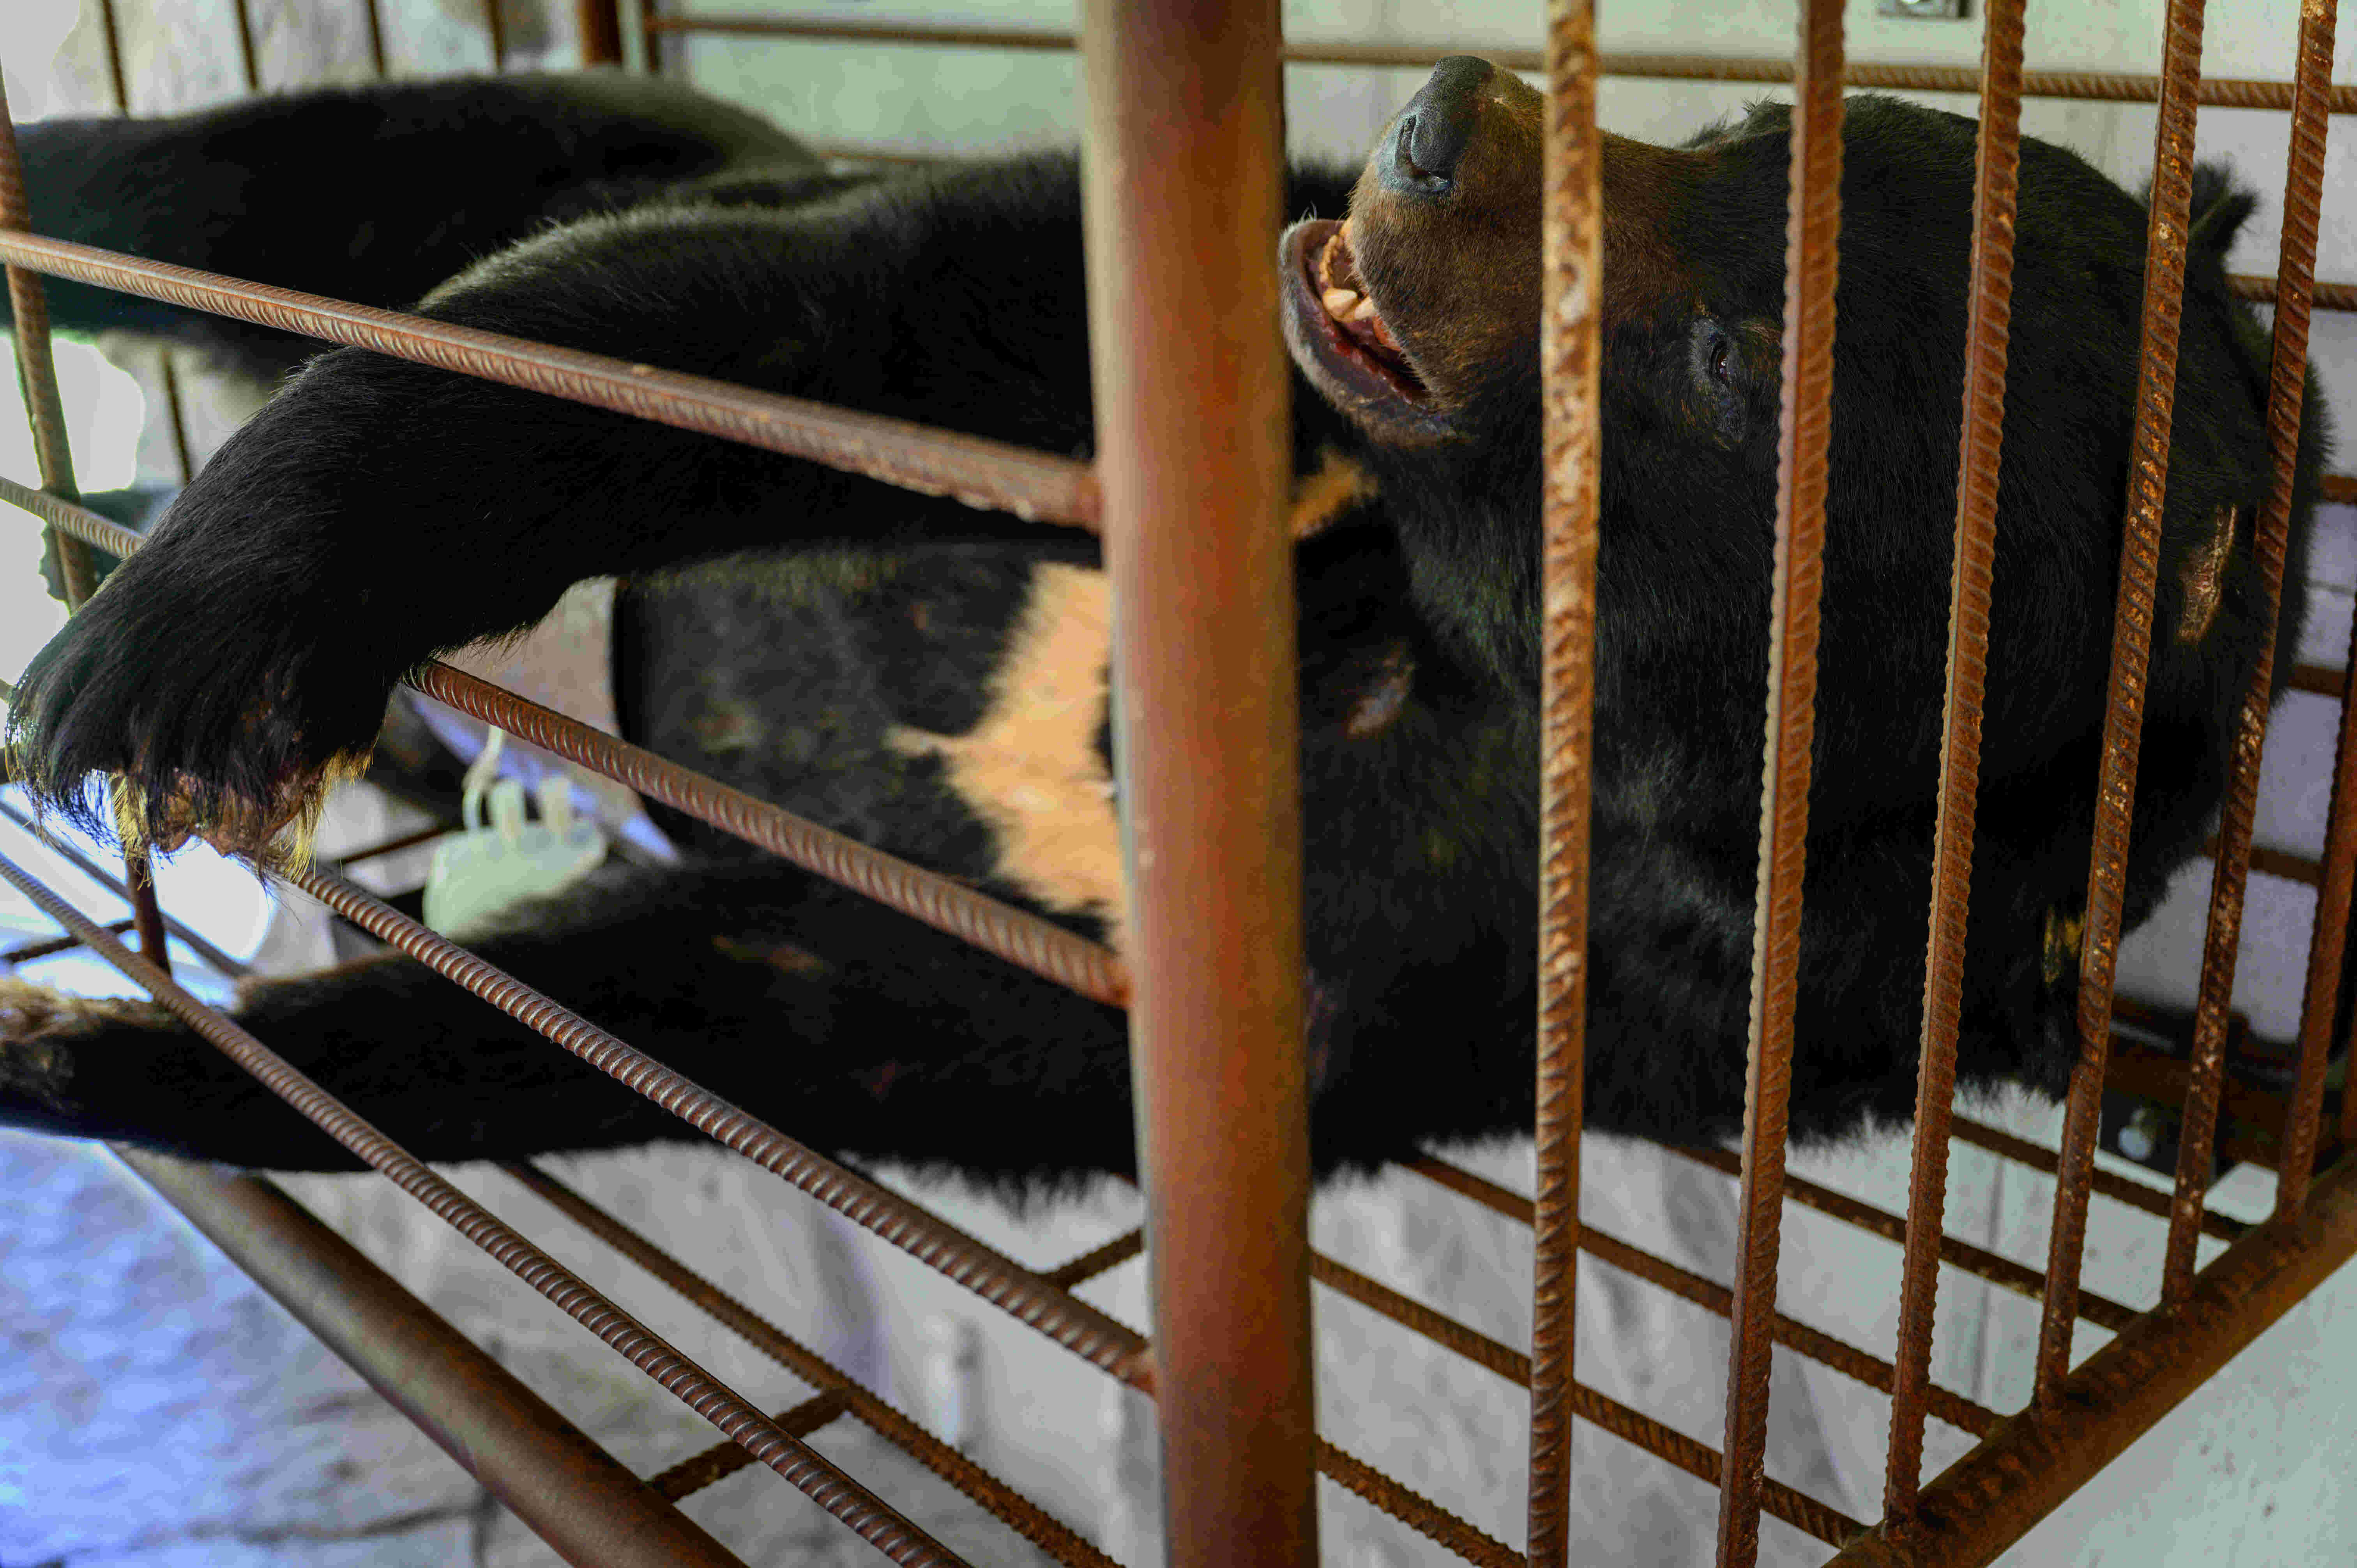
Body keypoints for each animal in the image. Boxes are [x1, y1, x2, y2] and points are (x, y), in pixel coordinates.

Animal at [0, 67, 2329, 1179]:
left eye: (1740, 364)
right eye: (1762, 118)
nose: (1445, 116)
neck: (1435, 653)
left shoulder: (1456, 1009)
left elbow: (776, 1024)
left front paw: (95, 1046)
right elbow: (796, 321)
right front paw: (198, 638)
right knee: (278, 180)